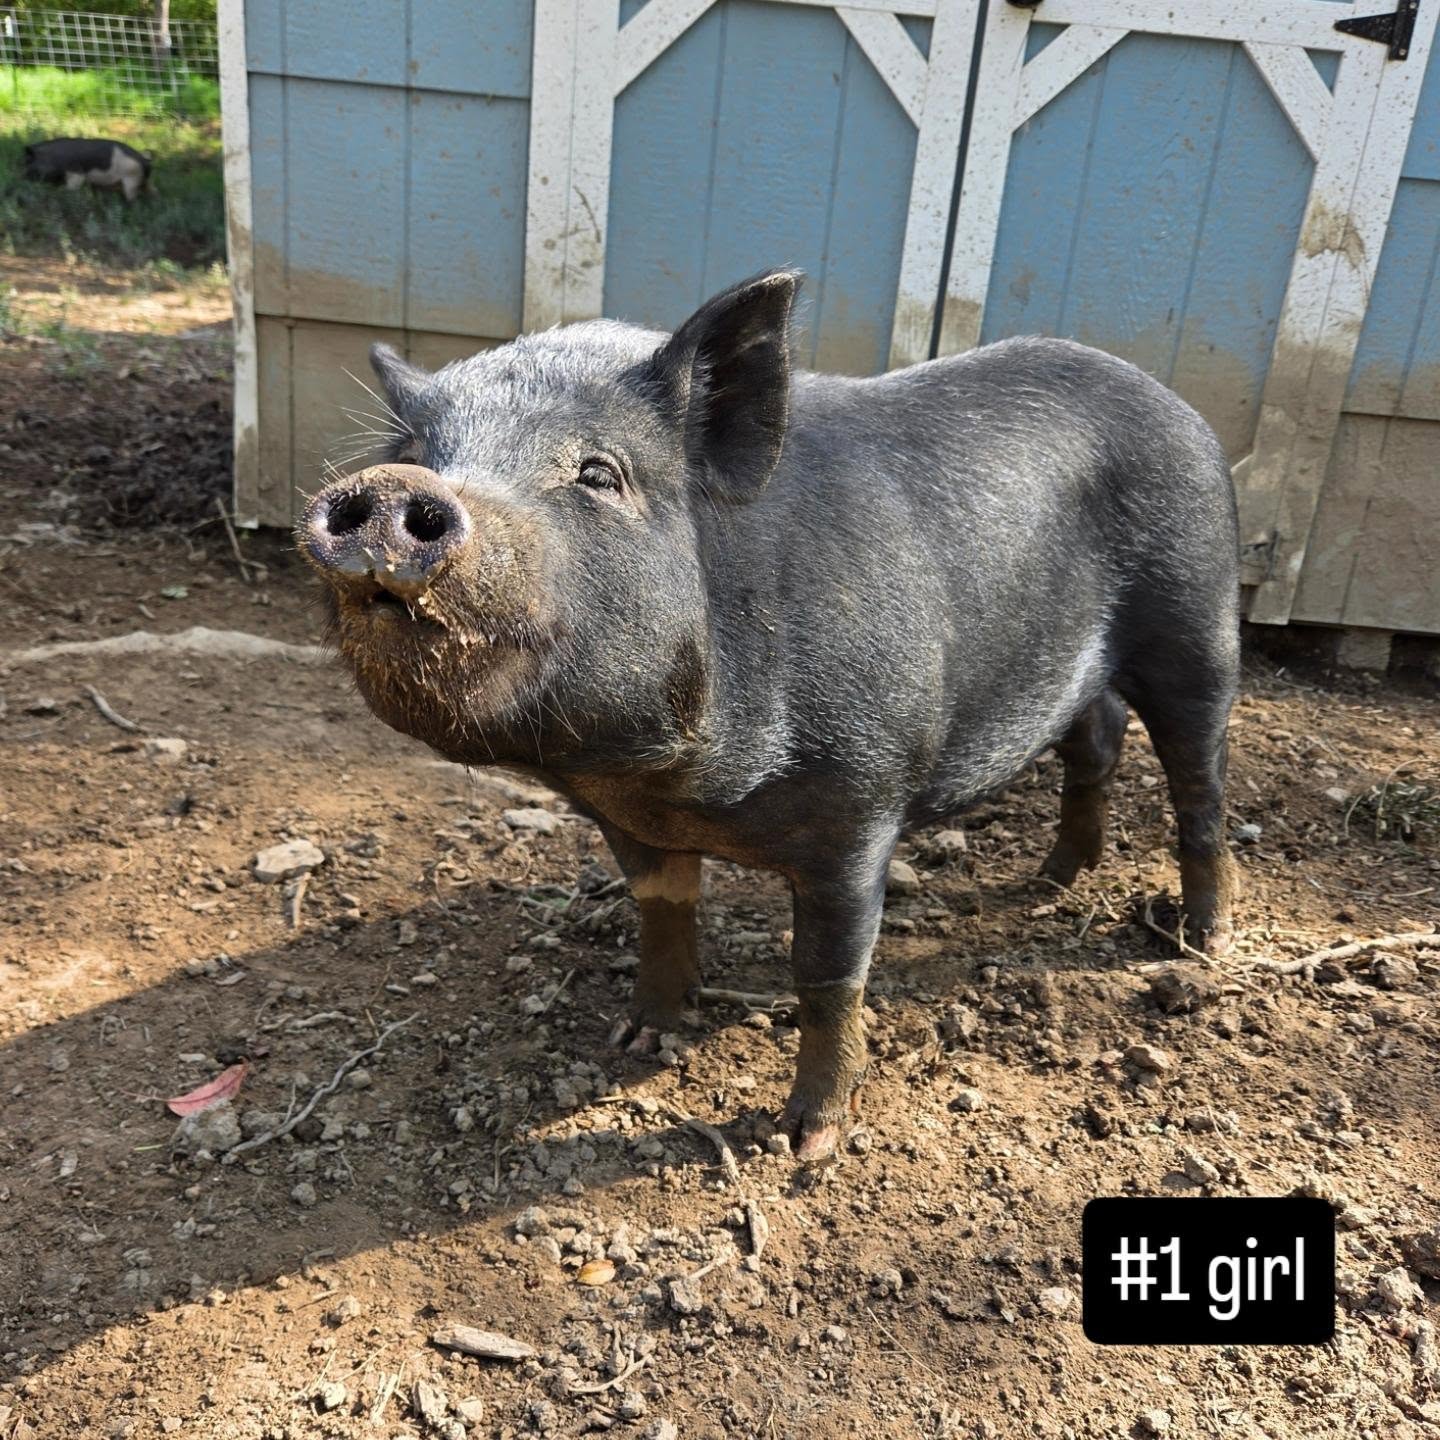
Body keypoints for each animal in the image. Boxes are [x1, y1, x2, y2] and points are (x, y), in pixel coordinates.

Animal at [22, 138, 151, 202]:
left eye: (29, 162)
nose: (23, 177)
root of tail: (144, 160)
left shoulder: (76, 173)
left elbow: (72, 186)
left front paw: (61, 192)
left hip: (131, 180)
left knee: (133, 198)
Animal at [299, 270, 1240, 1161]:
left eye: (599, 473)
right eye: (412, 449)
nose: (394, 485)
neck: (668, 786)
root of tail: (1178, 405)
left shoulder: (860, 804)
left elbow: (828, 975)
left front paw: (807, 1141)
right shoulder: (627, 822)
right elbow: (662, 909)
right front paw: (638, 1036)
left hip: (1197, 616)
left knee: (1198, 782)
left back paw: (1198, 944)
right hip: (1079, 670)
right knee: (1096, 740)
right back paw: (1050, 882)